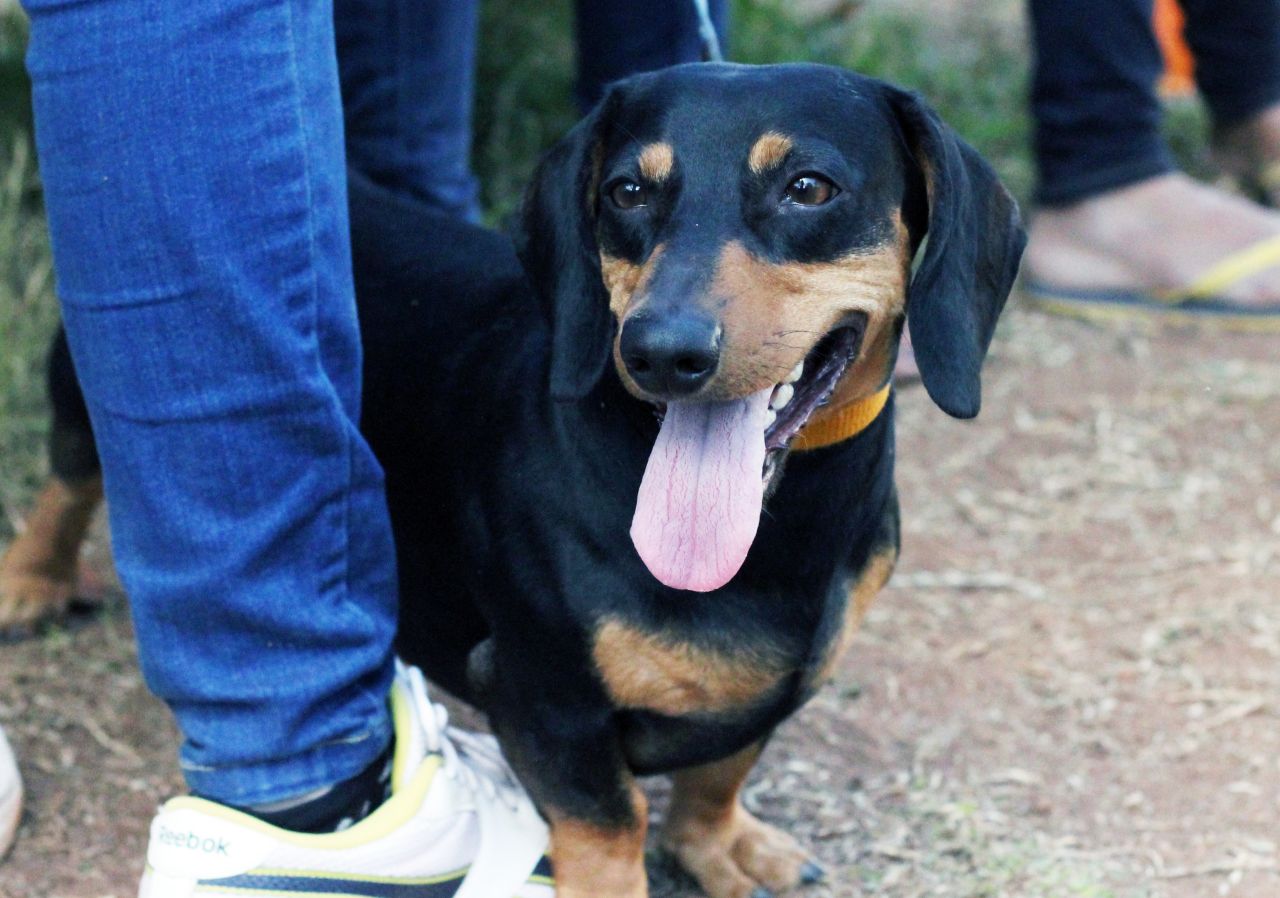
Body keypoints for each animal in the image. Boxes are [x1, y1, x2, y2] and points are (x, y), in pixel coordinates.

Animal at [0, 65, 1024, 898]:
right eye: (626, 191)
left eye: (809, 188)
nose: (660, 352)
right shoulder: (544, 700)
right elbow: (611, 829)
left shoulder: (775, 690)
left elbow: (720, 771)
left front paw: (718, 845)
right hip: (89, 388)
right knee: (68, 481)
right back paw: (31, 581)